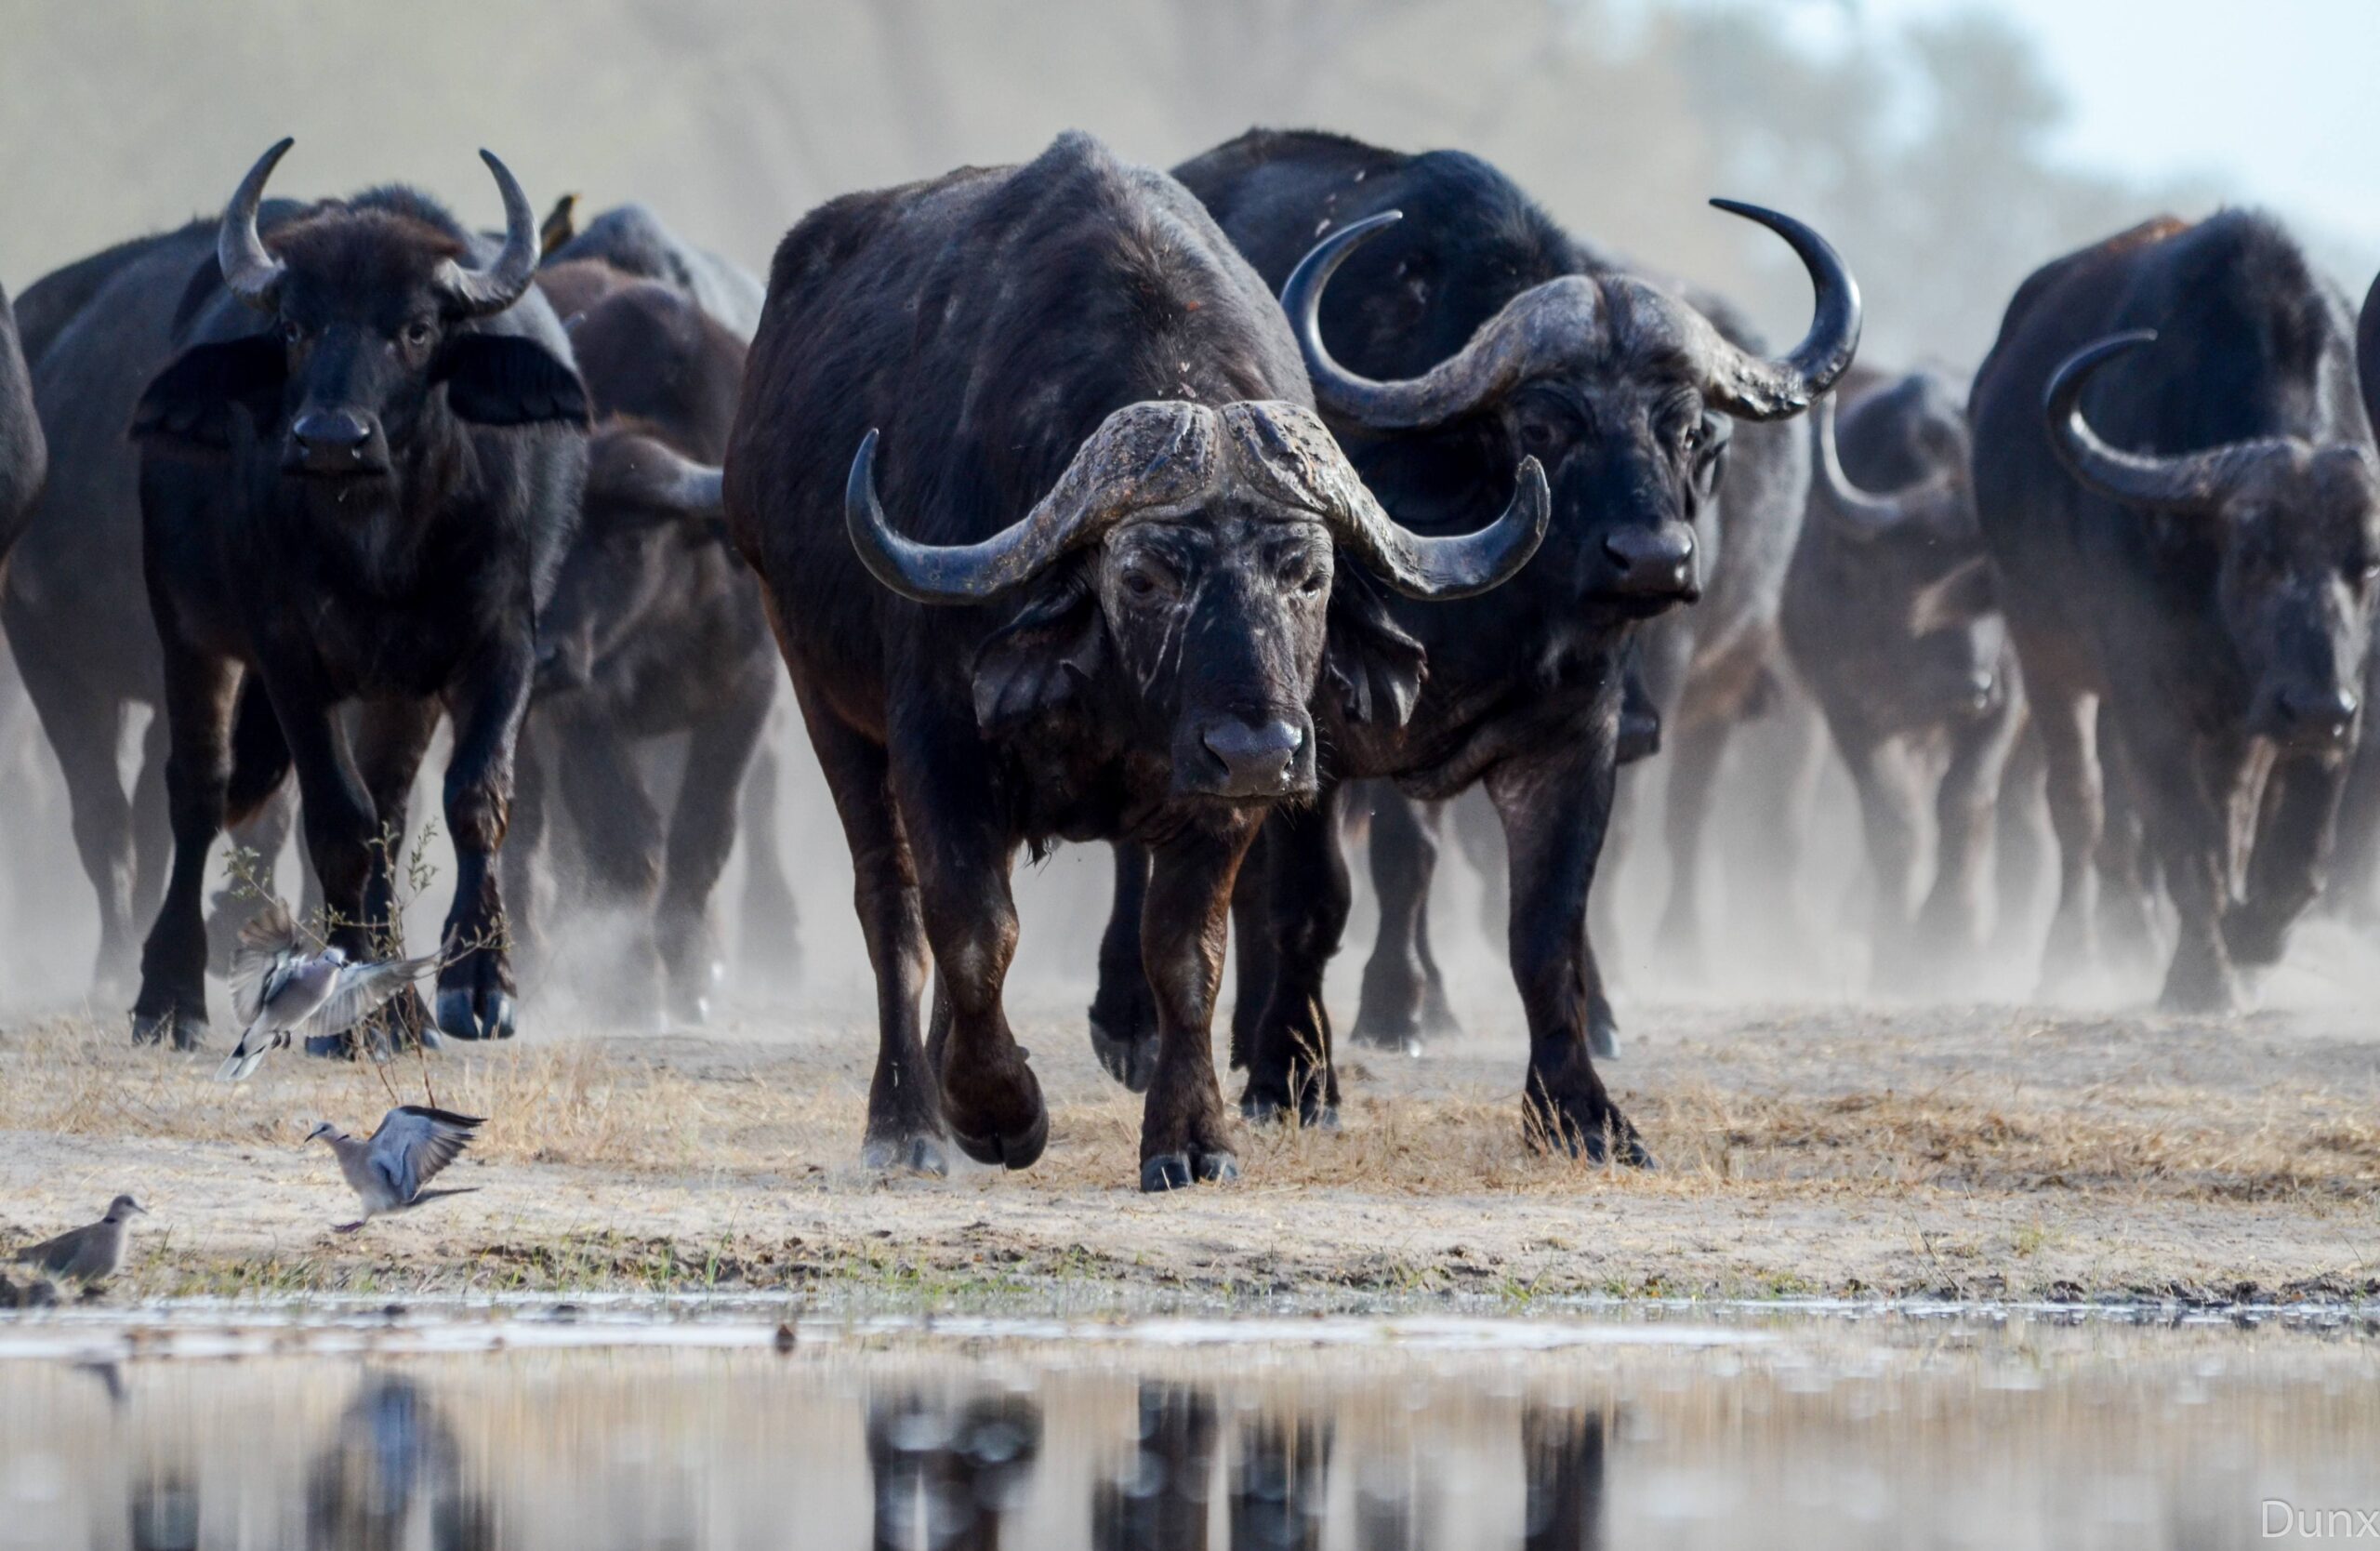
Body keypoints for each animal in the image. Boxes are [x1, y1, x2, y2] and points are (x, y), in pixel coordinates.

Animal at [126, 141, 589, 1049]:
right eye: (294, 328)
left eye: (416, 329)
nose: (331, 439)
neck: (381, 542)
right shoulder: (287, 655)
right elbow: (338, 821)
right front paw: (371, 1013)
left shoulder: (502, 641)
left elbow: (474, 797)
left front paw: (477, 985)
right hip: (186, 631)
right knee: (199, 790)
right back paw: (171, 996)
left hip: (398, 690)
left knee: (392, 810)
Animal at [723, 132, 1546, 1189]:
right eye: (1147, 575)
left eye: (1308, 574)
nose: (1260, 749)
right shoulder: (938, 740)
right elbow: (972, 932)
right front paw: (998, 1111)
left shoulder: (1220, 798)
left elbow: (1183, 954)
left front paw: (1191, 1138)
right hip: (820, 691)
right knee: (893, 908)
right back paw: (908, 1120)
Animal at [1092, 131, 1858, 1159]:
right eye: (1544, 422)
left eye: (1691, 430)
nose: (1653, 558)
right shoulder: (1305, 738)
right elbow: (1312, 904)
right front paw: (1301, 1076)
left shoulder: (1576, 737)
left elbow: (1546, 925)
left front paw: (1580, 1108)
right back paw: (1142, 1026)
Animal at [1969, 212, 2380, 1009]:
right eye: (2254, 555)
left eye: (2369, 563)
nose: (2318, 705)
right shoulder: (2148, 696)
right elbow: (2182, 835)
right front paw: (2201, 978)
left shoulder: (2316, 707)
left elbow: (2290, 852)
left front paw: (2251, 942)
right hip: (2046, 653)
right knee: (2083, 806)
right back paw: (2078, 954)